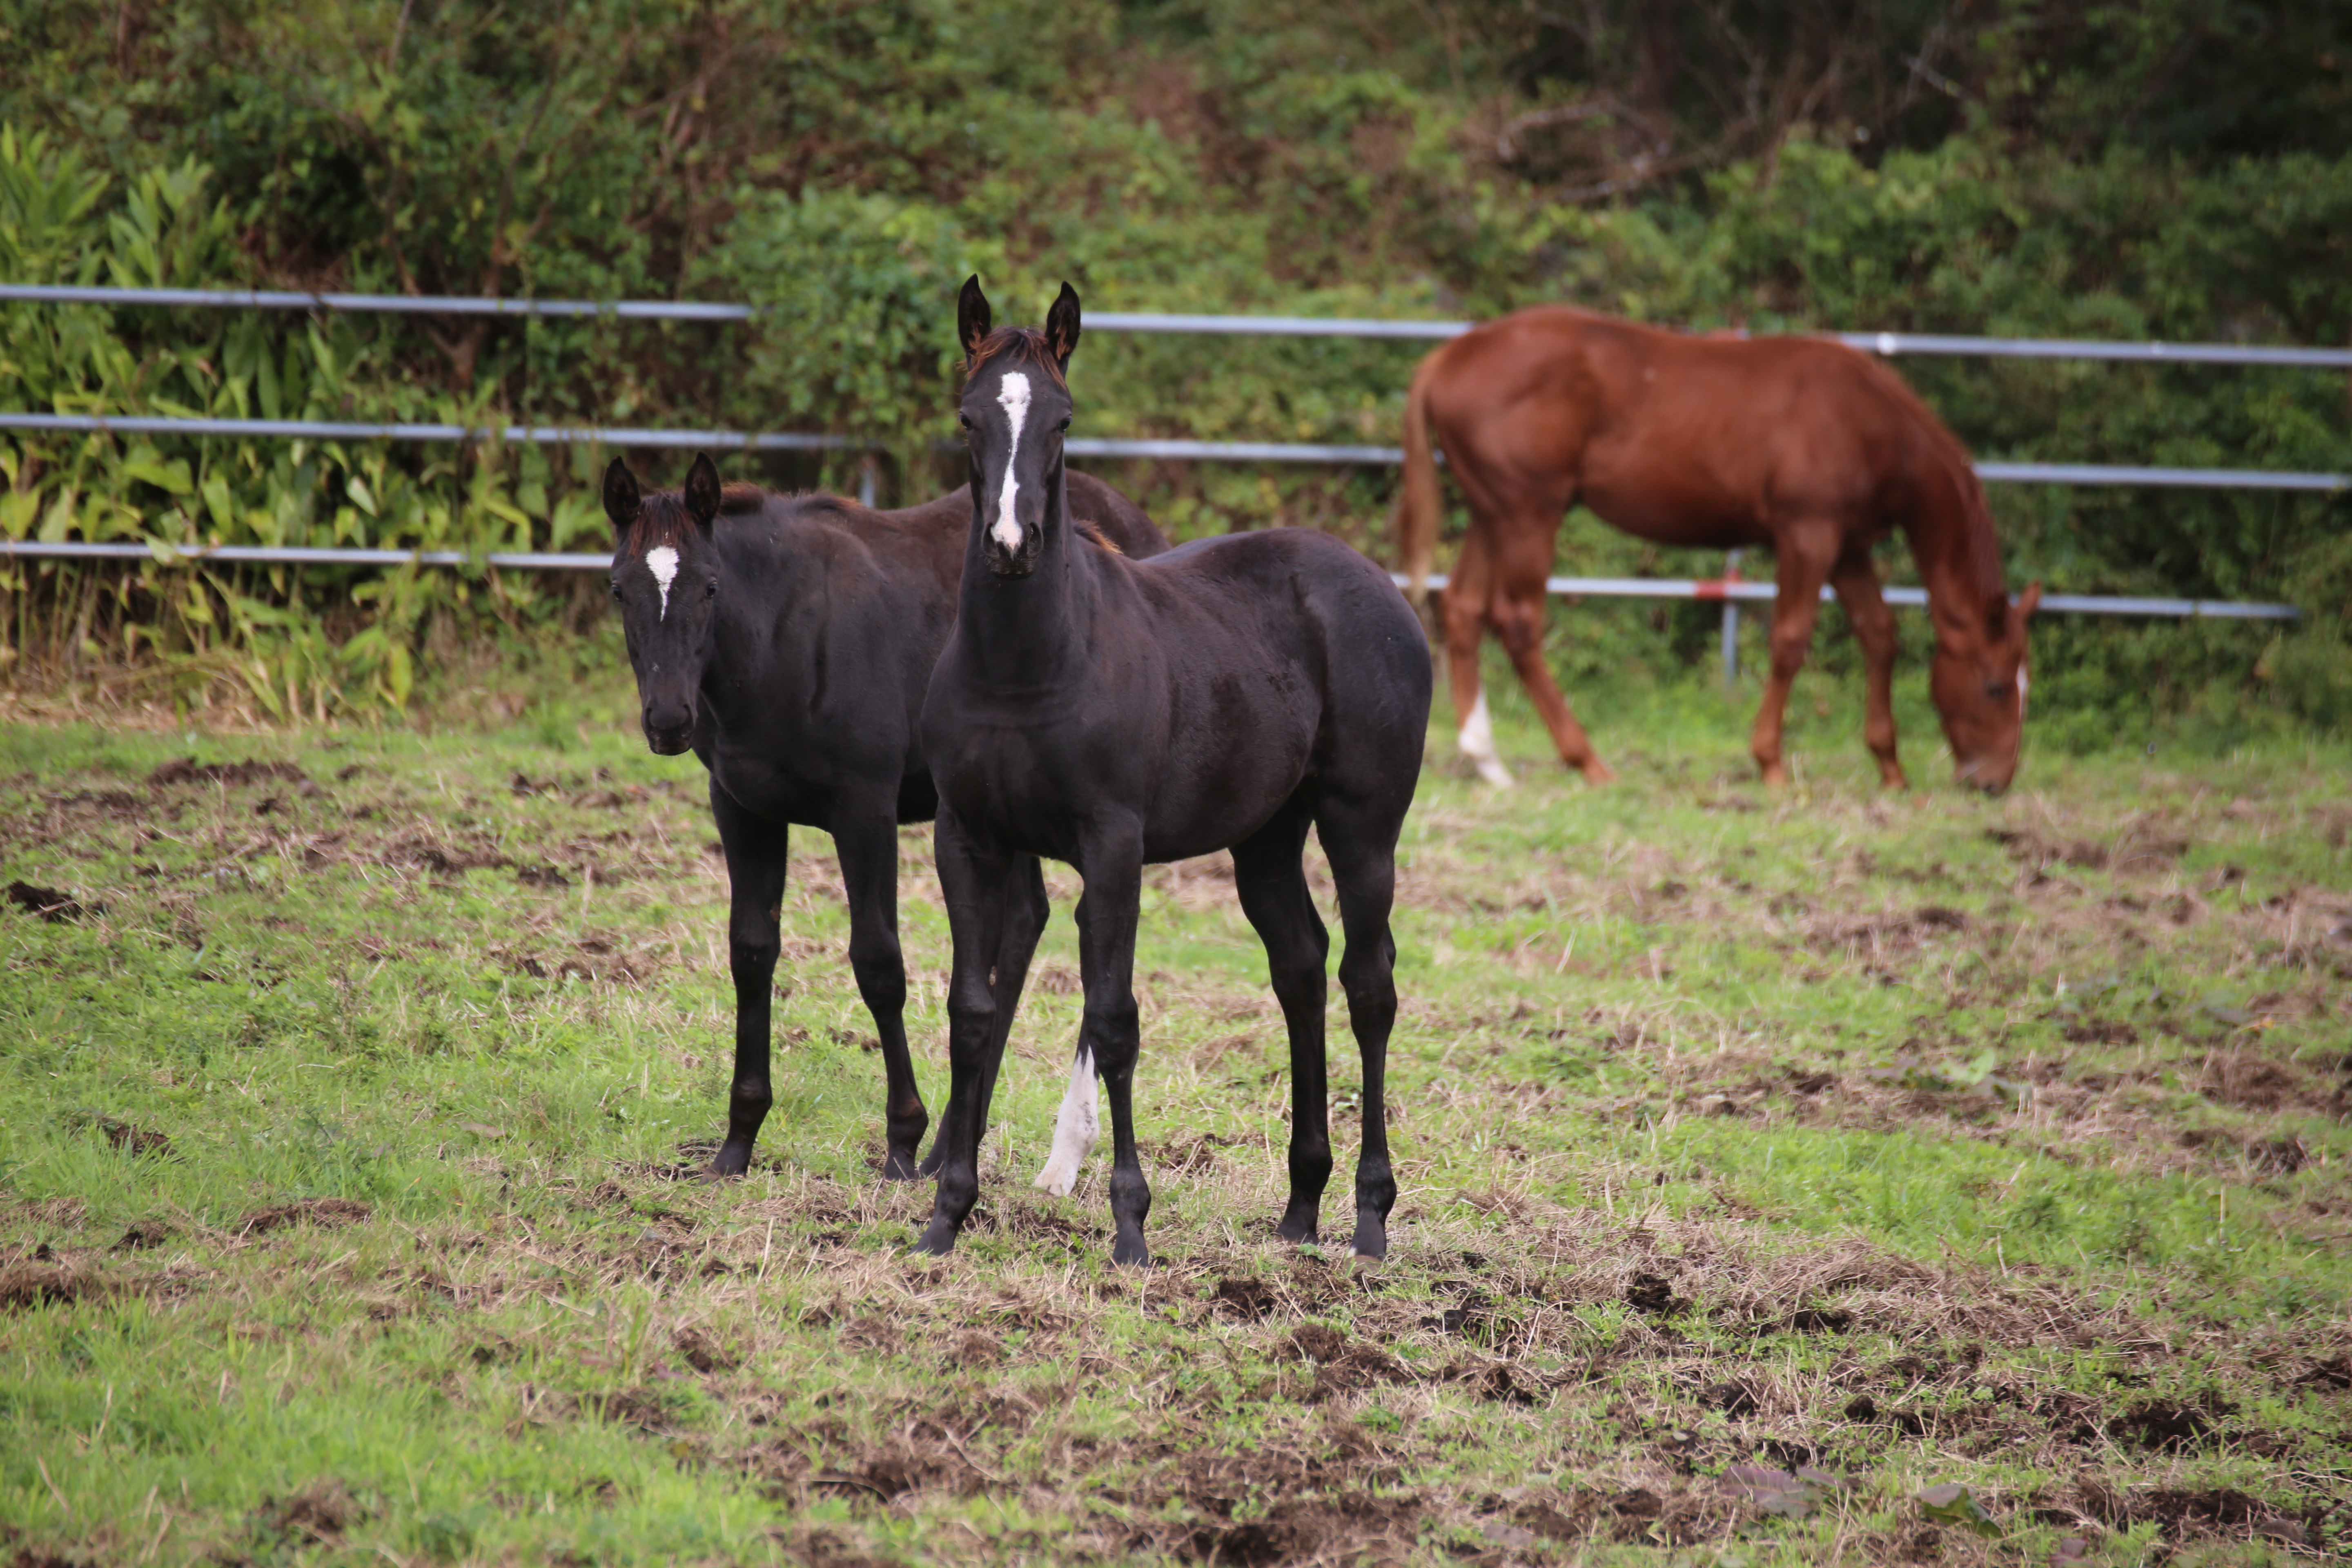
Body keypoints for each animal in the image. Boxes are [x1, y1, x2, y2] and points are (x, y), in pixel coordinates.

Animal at [917, 278, 1430, 1260]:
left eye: (1063, 421)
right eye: (969, 416)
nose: (1011, 544)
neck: (1029, 666)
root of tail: (1377, 585)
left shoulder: (1113, 846)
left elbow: (1114, 1022)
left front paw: (1129, 1225)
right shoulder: (968, 839)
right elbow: (973, 1011)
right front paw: (946, 1214)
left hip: (1363, 827)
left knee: (1369, 985)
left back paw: (1370, 1215)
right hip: (1268, 836)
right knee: (1301, 967)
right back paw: (1300, 1208)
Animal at [1392, 308, 2041, 799]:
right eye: (1995, 686)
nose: (1995, 781)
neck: (1869, 421)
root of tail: (1451, 357)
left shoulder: (1849, 549)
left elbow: (1880, 636)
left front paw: (1890, 766)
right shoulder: (1808, 535)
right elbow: (1790, 642)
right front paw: (1771, 763)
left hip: (1493, 515)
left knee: (1463, 608)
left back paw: (1488, 760)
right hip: (1529, 516)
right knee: (1519, 624)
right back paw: (1587, 761)